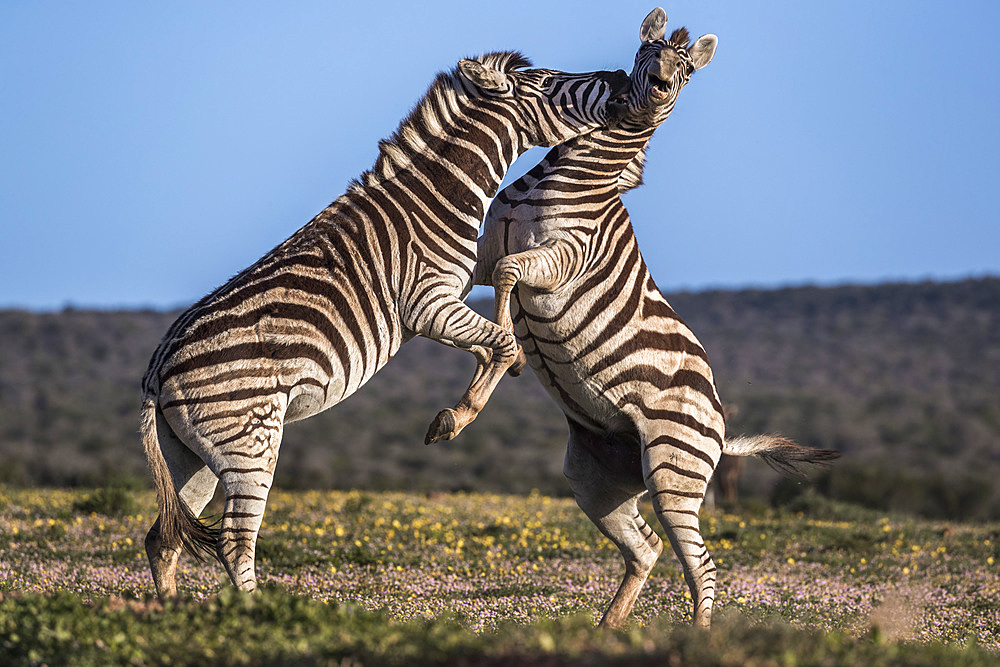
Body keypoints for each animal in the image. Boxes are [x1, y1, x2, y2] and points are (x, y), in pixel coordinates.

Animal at [142, 49, 628, 596]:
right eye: (546, 83)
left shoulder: (454, 293)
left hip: (194, 455)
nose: (620, 77)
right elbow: (501, 342)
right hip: (250, 443)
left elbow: (497, 337)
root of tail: (158, 373)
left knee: (164, 539)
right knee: (232, 543)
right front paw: (456, 416)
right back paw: (255, 612)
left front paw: (499, 376)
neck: (439, 197)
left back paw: (175, 613)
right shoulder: (427, 302)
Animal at [426, 7, 840, 628]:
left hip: (675, 471)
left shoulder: (561, 257)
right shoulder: (487, 247)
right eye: (649, 56)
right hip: (598, 478)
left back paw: (692, 638)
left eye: (687, 73)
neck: (578, 175)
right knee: (645, 549)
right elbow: (480, 281)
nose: (659, 88)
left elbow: (508, 278)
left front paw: (490, 381)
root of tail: (722, 425)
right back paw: (605, 633)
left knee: (702, 564)